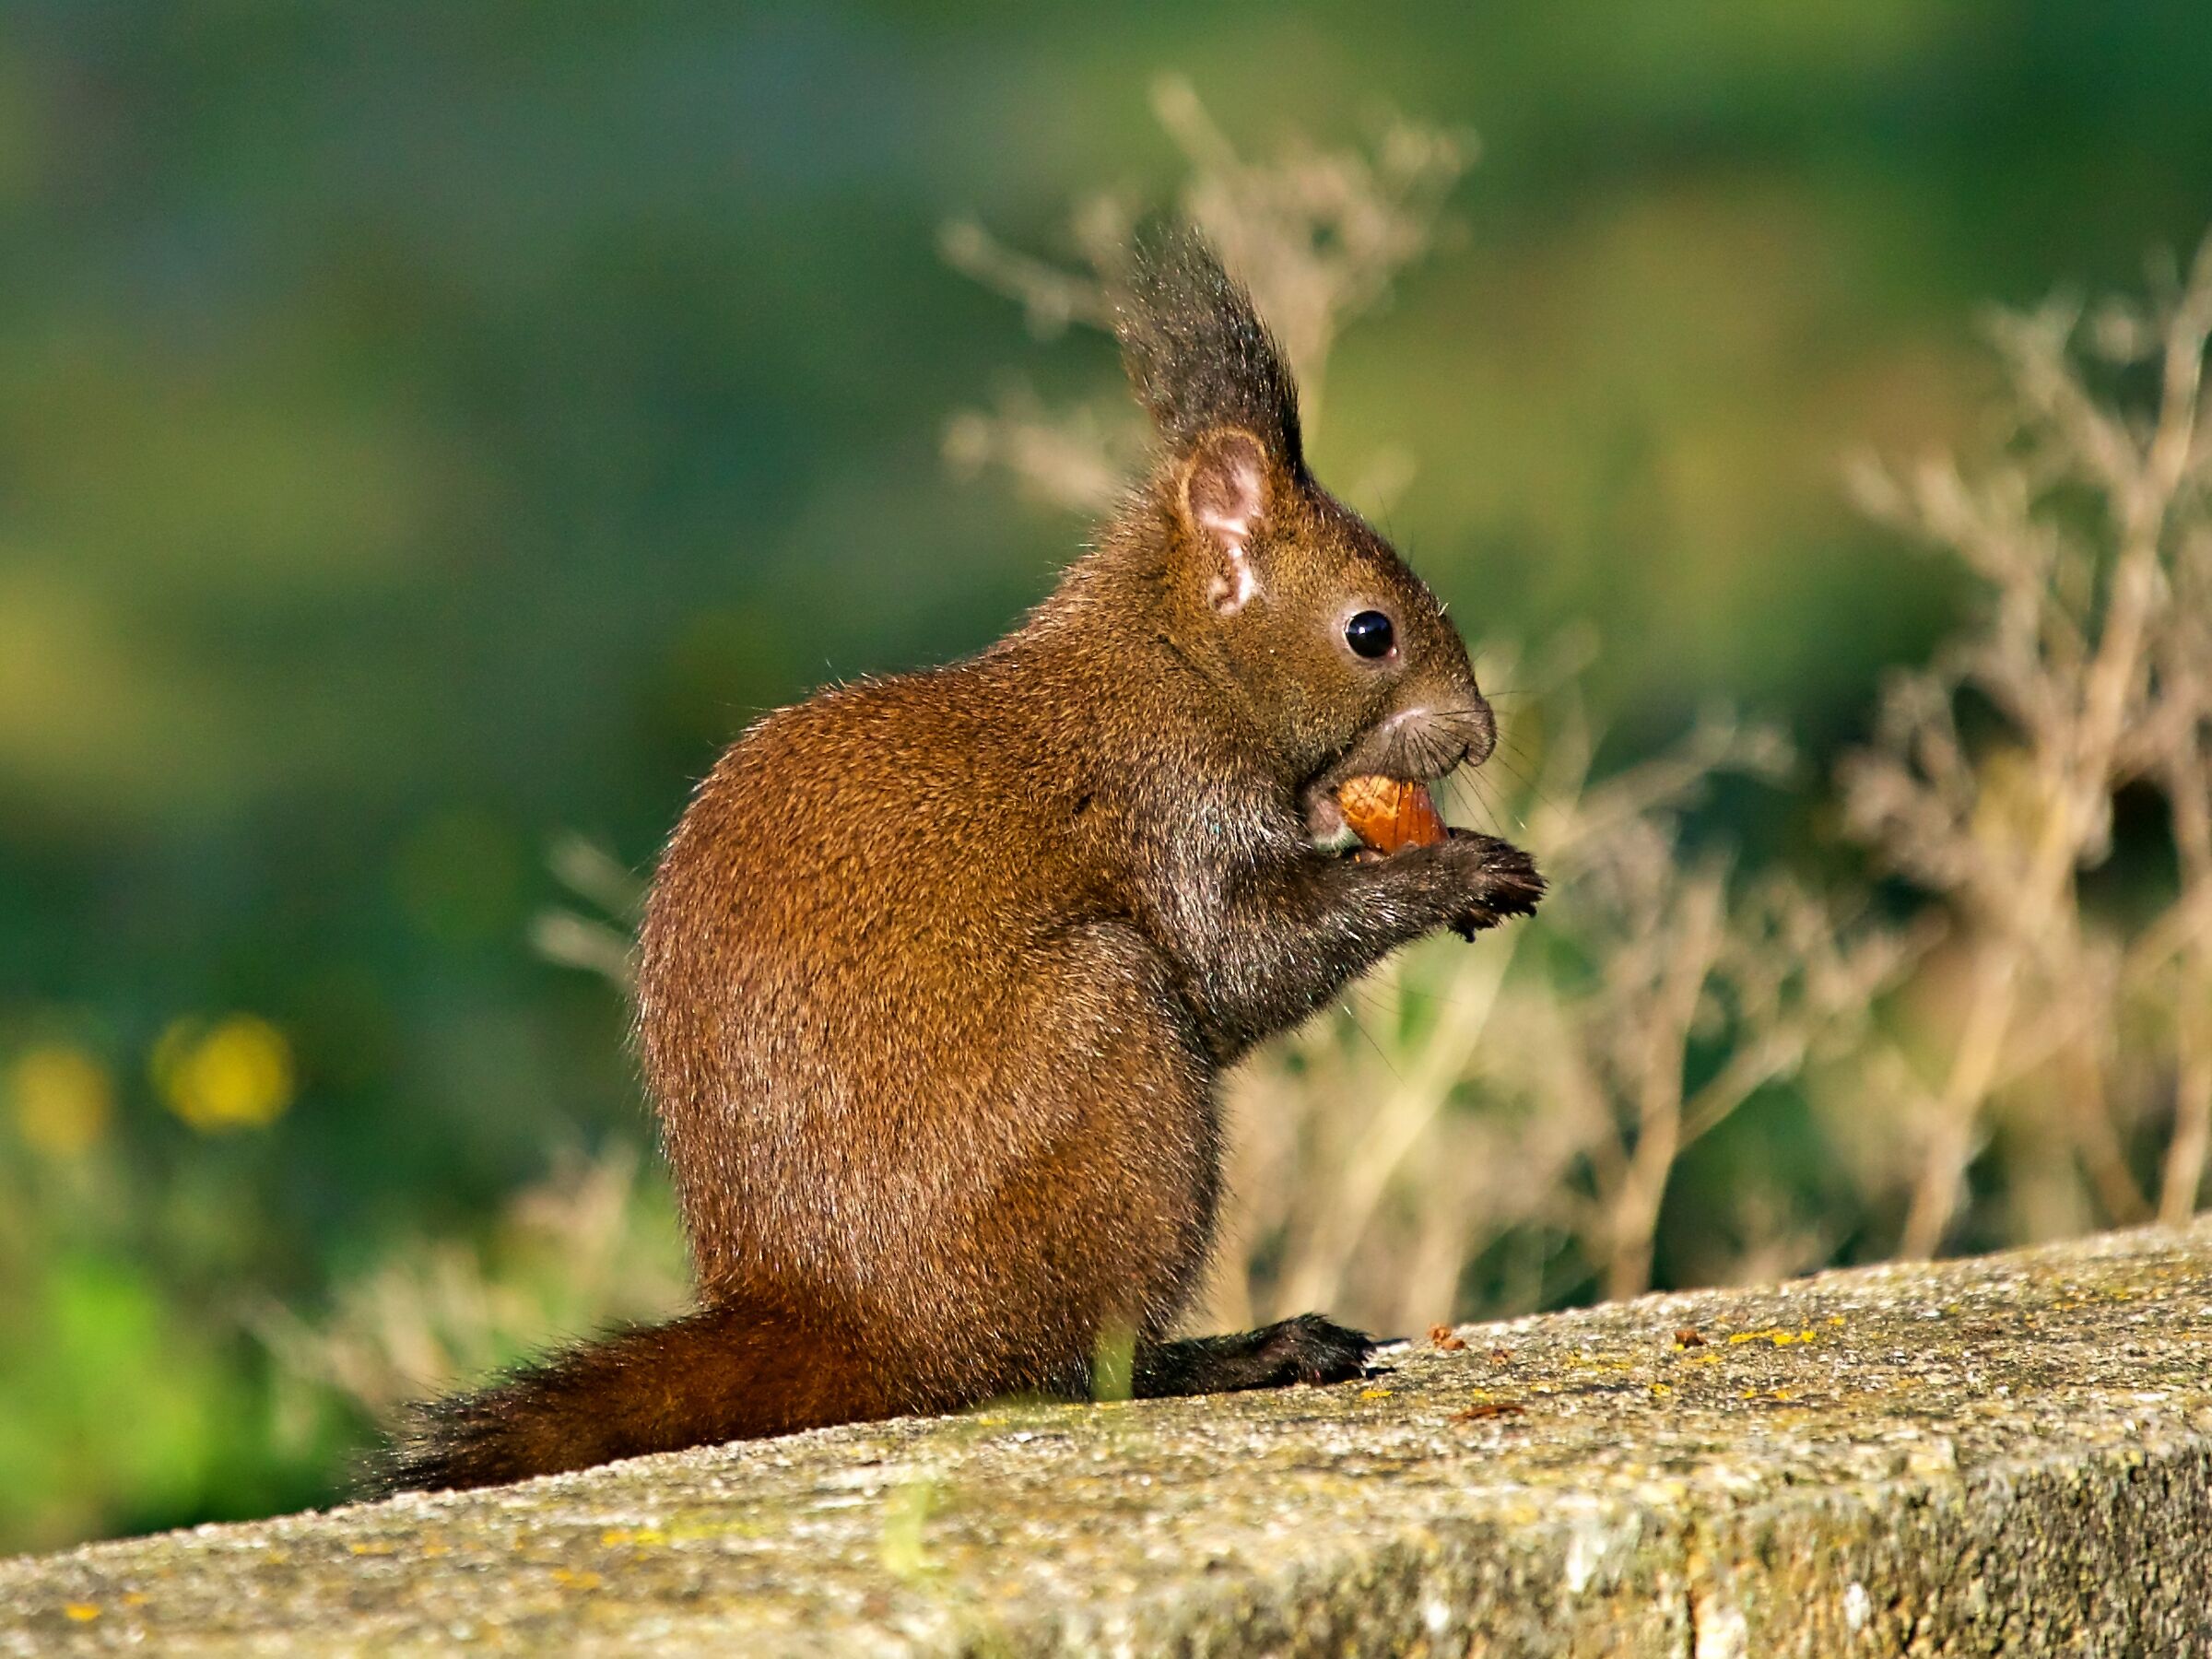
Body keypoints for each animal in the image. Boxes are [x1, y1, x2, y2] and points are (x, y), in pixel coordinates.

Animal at [373, 228, 1542, 1494]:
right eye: (1370, 632)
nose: (1479, 733)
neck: (1171, 661)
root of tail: (850, 1321)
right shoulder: (1166, 808)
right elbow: (1245, 962)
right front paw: (1458, 874)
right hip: (1107, 1053)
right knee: (1079, 1362)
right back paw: (1248, 1352)